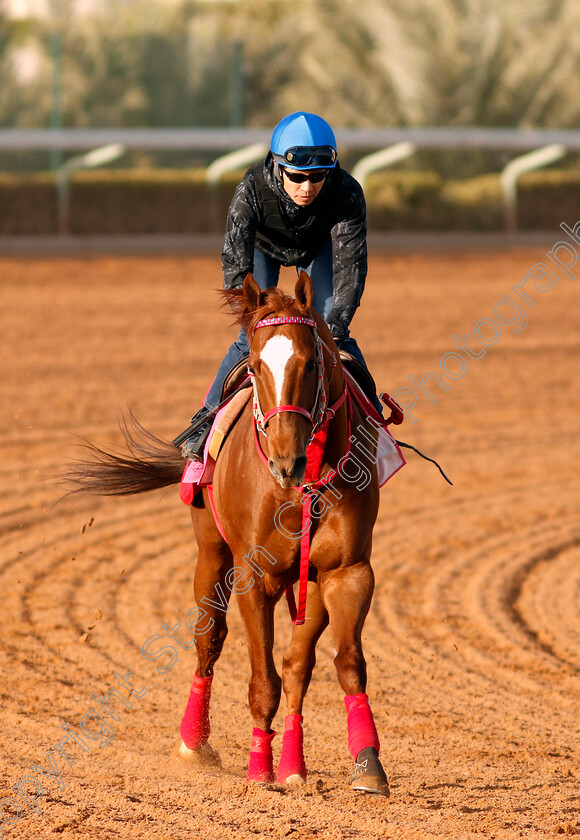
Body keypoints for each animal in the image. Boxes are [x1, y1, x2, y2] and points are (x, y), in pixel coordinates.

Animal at [70, 272, 392, 796]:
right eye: (257, 367)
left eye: (310, 362)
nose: (285, 459)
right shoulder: (253, 574)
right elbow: (262, 680)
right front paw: (258, 769)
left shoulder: (347, 572)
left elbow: (345, 664)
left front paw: (367, 763)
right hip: (211, 554)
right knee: (210, 641)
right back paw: (193, 742)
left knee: (297, 665)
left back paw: (295, 765)